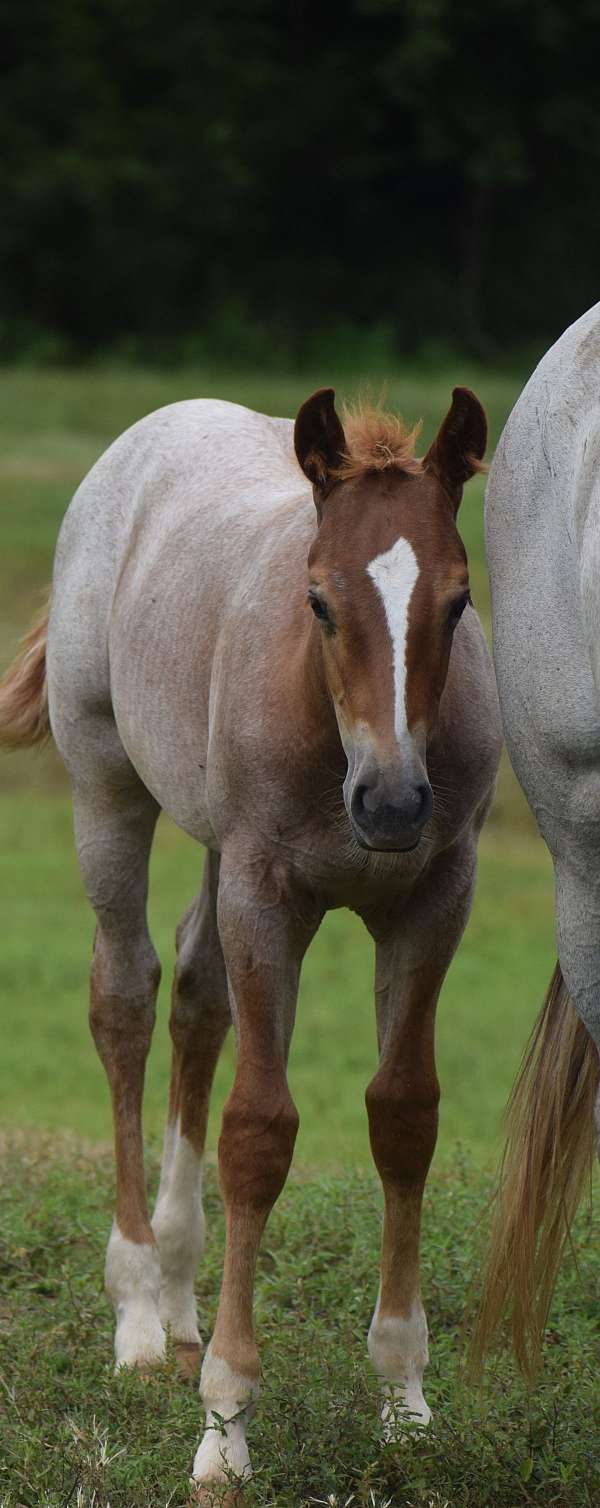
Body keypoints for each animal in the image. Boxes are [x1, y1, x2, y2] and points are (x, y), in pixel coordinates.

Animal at [0, 383, 500, 1489]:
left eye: (456, 601)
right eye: (316, 599)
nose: (392, 803)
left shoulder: (435, 896)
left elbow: (405, 1114)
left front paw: (405, 1397)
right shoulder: (269, 895)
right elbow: (259, 1131)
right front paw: (223, 1429)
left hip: (215, 842)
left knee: (196, 993)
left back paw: (181, 1293)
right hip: (109, 790)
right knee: (127, 995)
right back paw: (141, 1312)